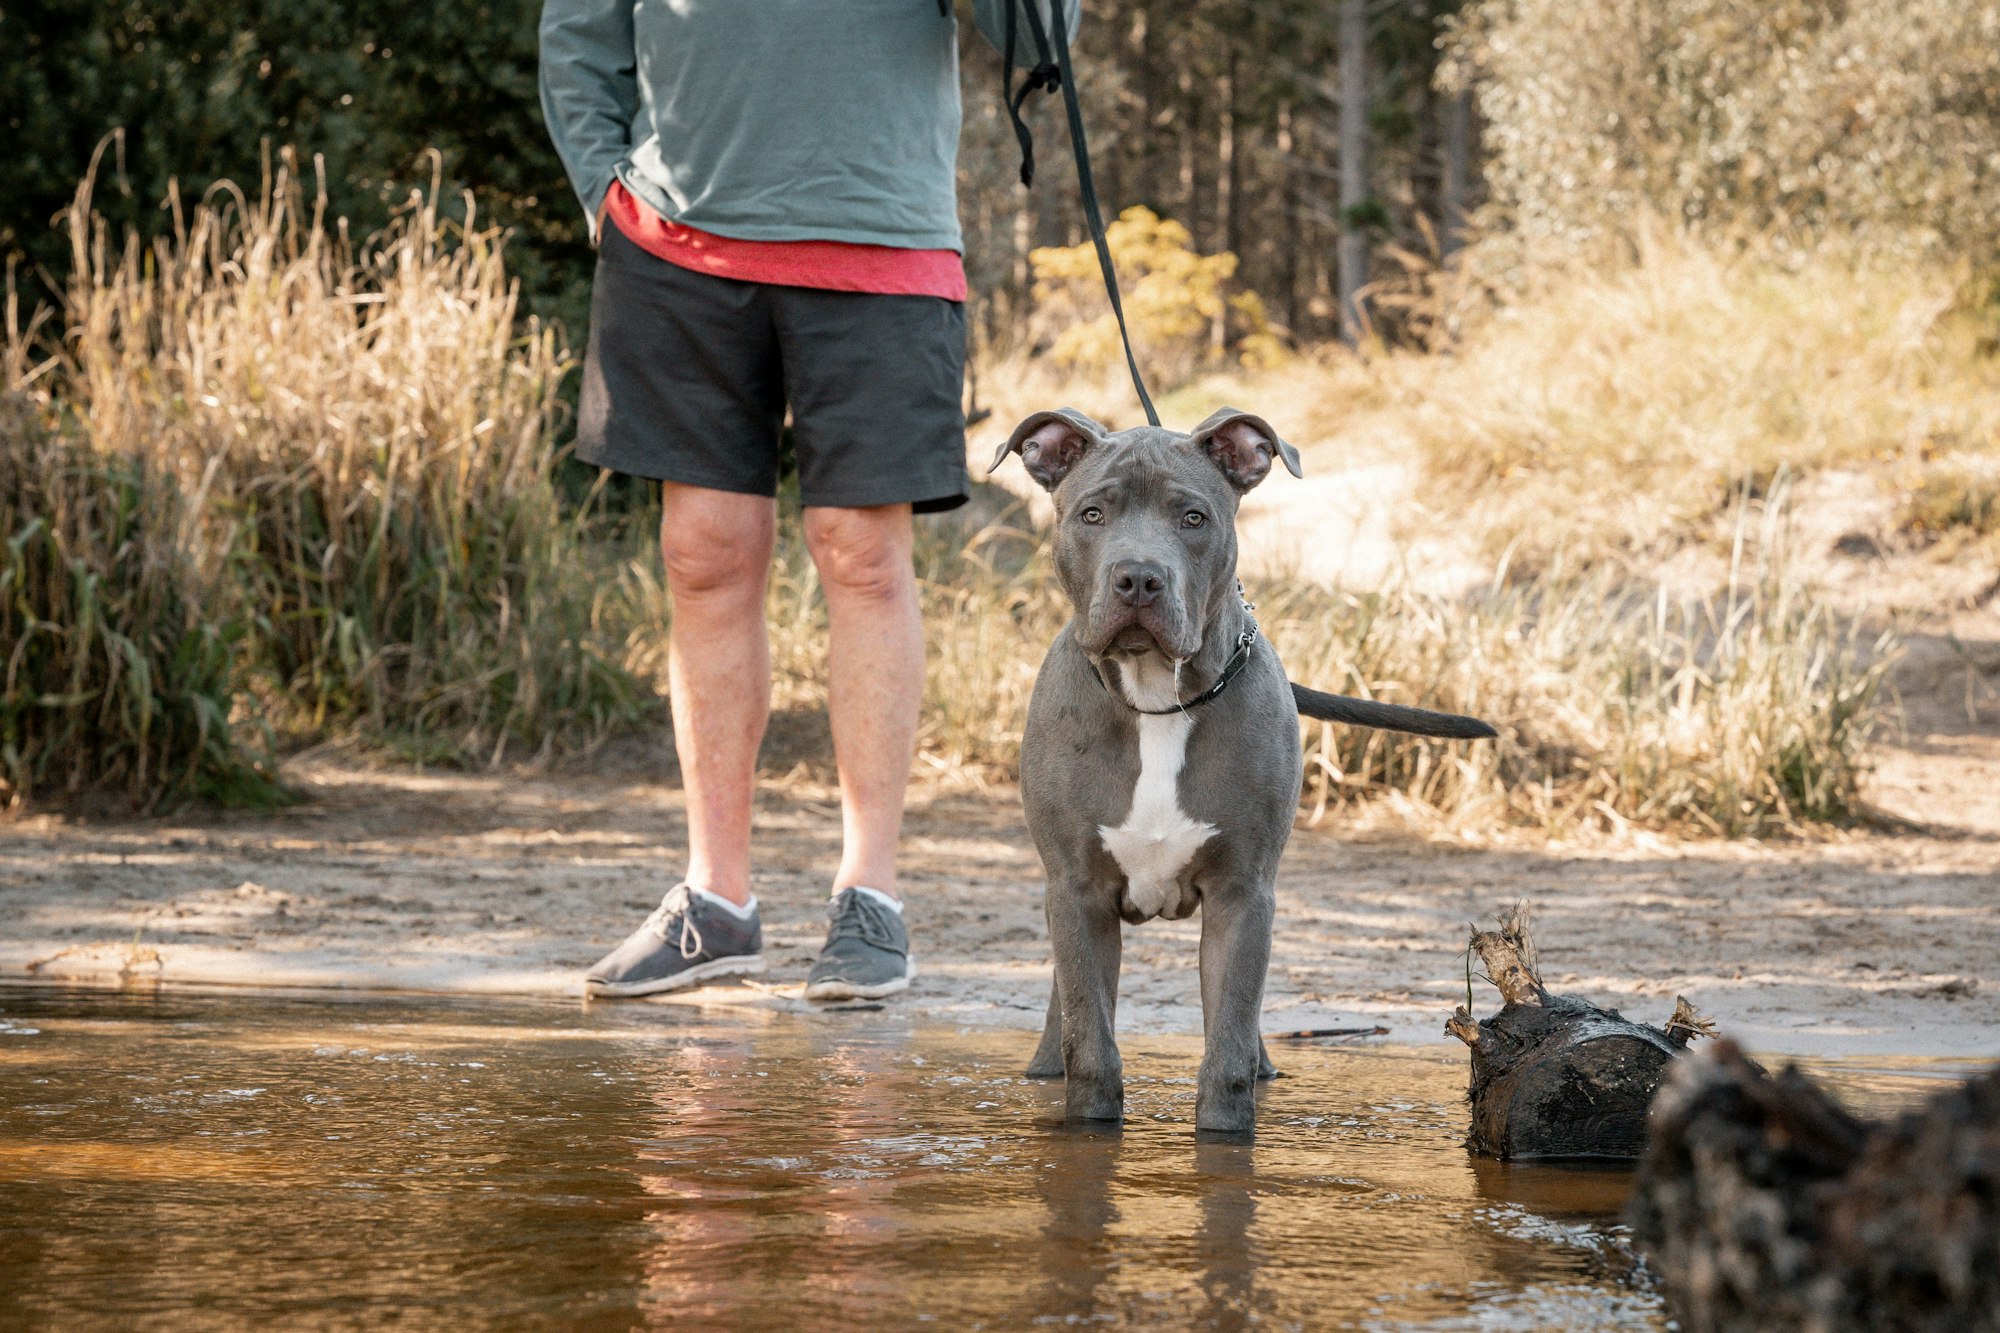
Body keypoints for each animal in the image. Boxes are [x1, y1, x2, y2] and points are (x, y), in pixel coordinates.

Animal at [992, 402, 1496, 1128]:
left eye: (1193, 517)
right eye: (1092, 514)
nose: (1138, 577)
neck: (1158, 699)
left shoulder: (1242, 893)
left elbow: (1227, 1046)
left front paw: (1227, 1134)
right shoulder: (1076, 891)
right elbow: (1091, 1043)